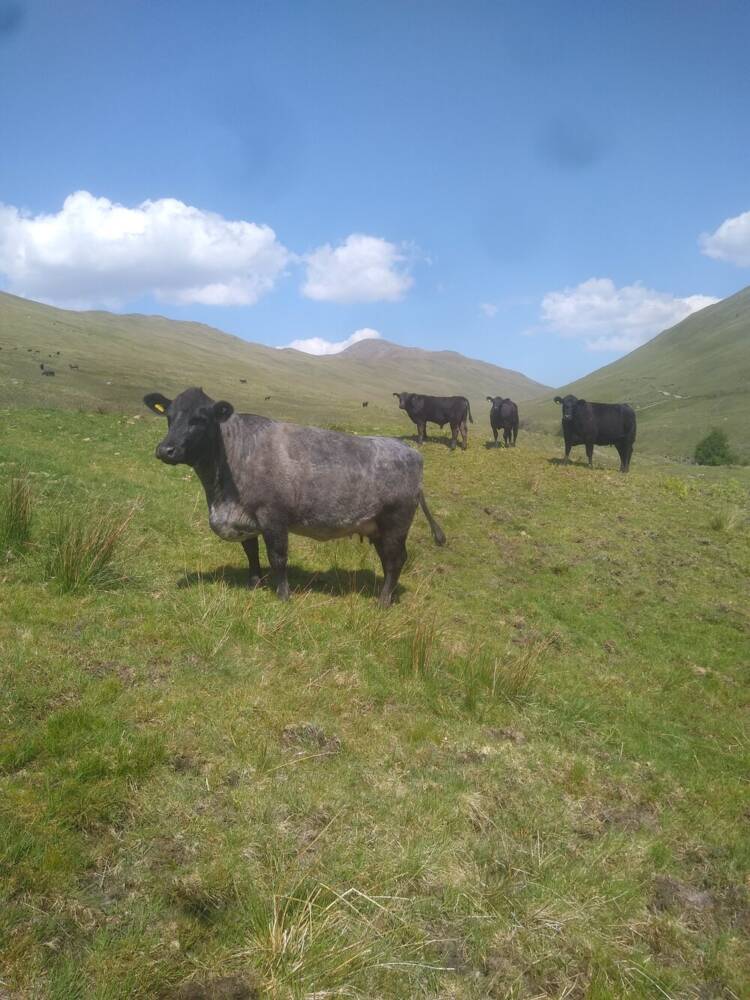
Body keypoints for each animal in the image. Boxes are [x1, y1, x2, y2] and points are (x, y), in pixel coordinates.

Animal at [144, 388, 446, 608]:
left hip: (396, 522)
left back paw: (382, 601)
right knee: (389, 559)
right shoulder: (245, 517)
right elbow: (251, 552)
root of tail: (409, 451)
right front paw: (254, 584)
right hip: (378, 528)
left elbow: (277, 557)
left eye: (200, 419)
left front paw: (283, 596)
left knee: (396, 560)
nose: (165, 449)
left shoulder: (273, 516)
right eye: (169, 416)